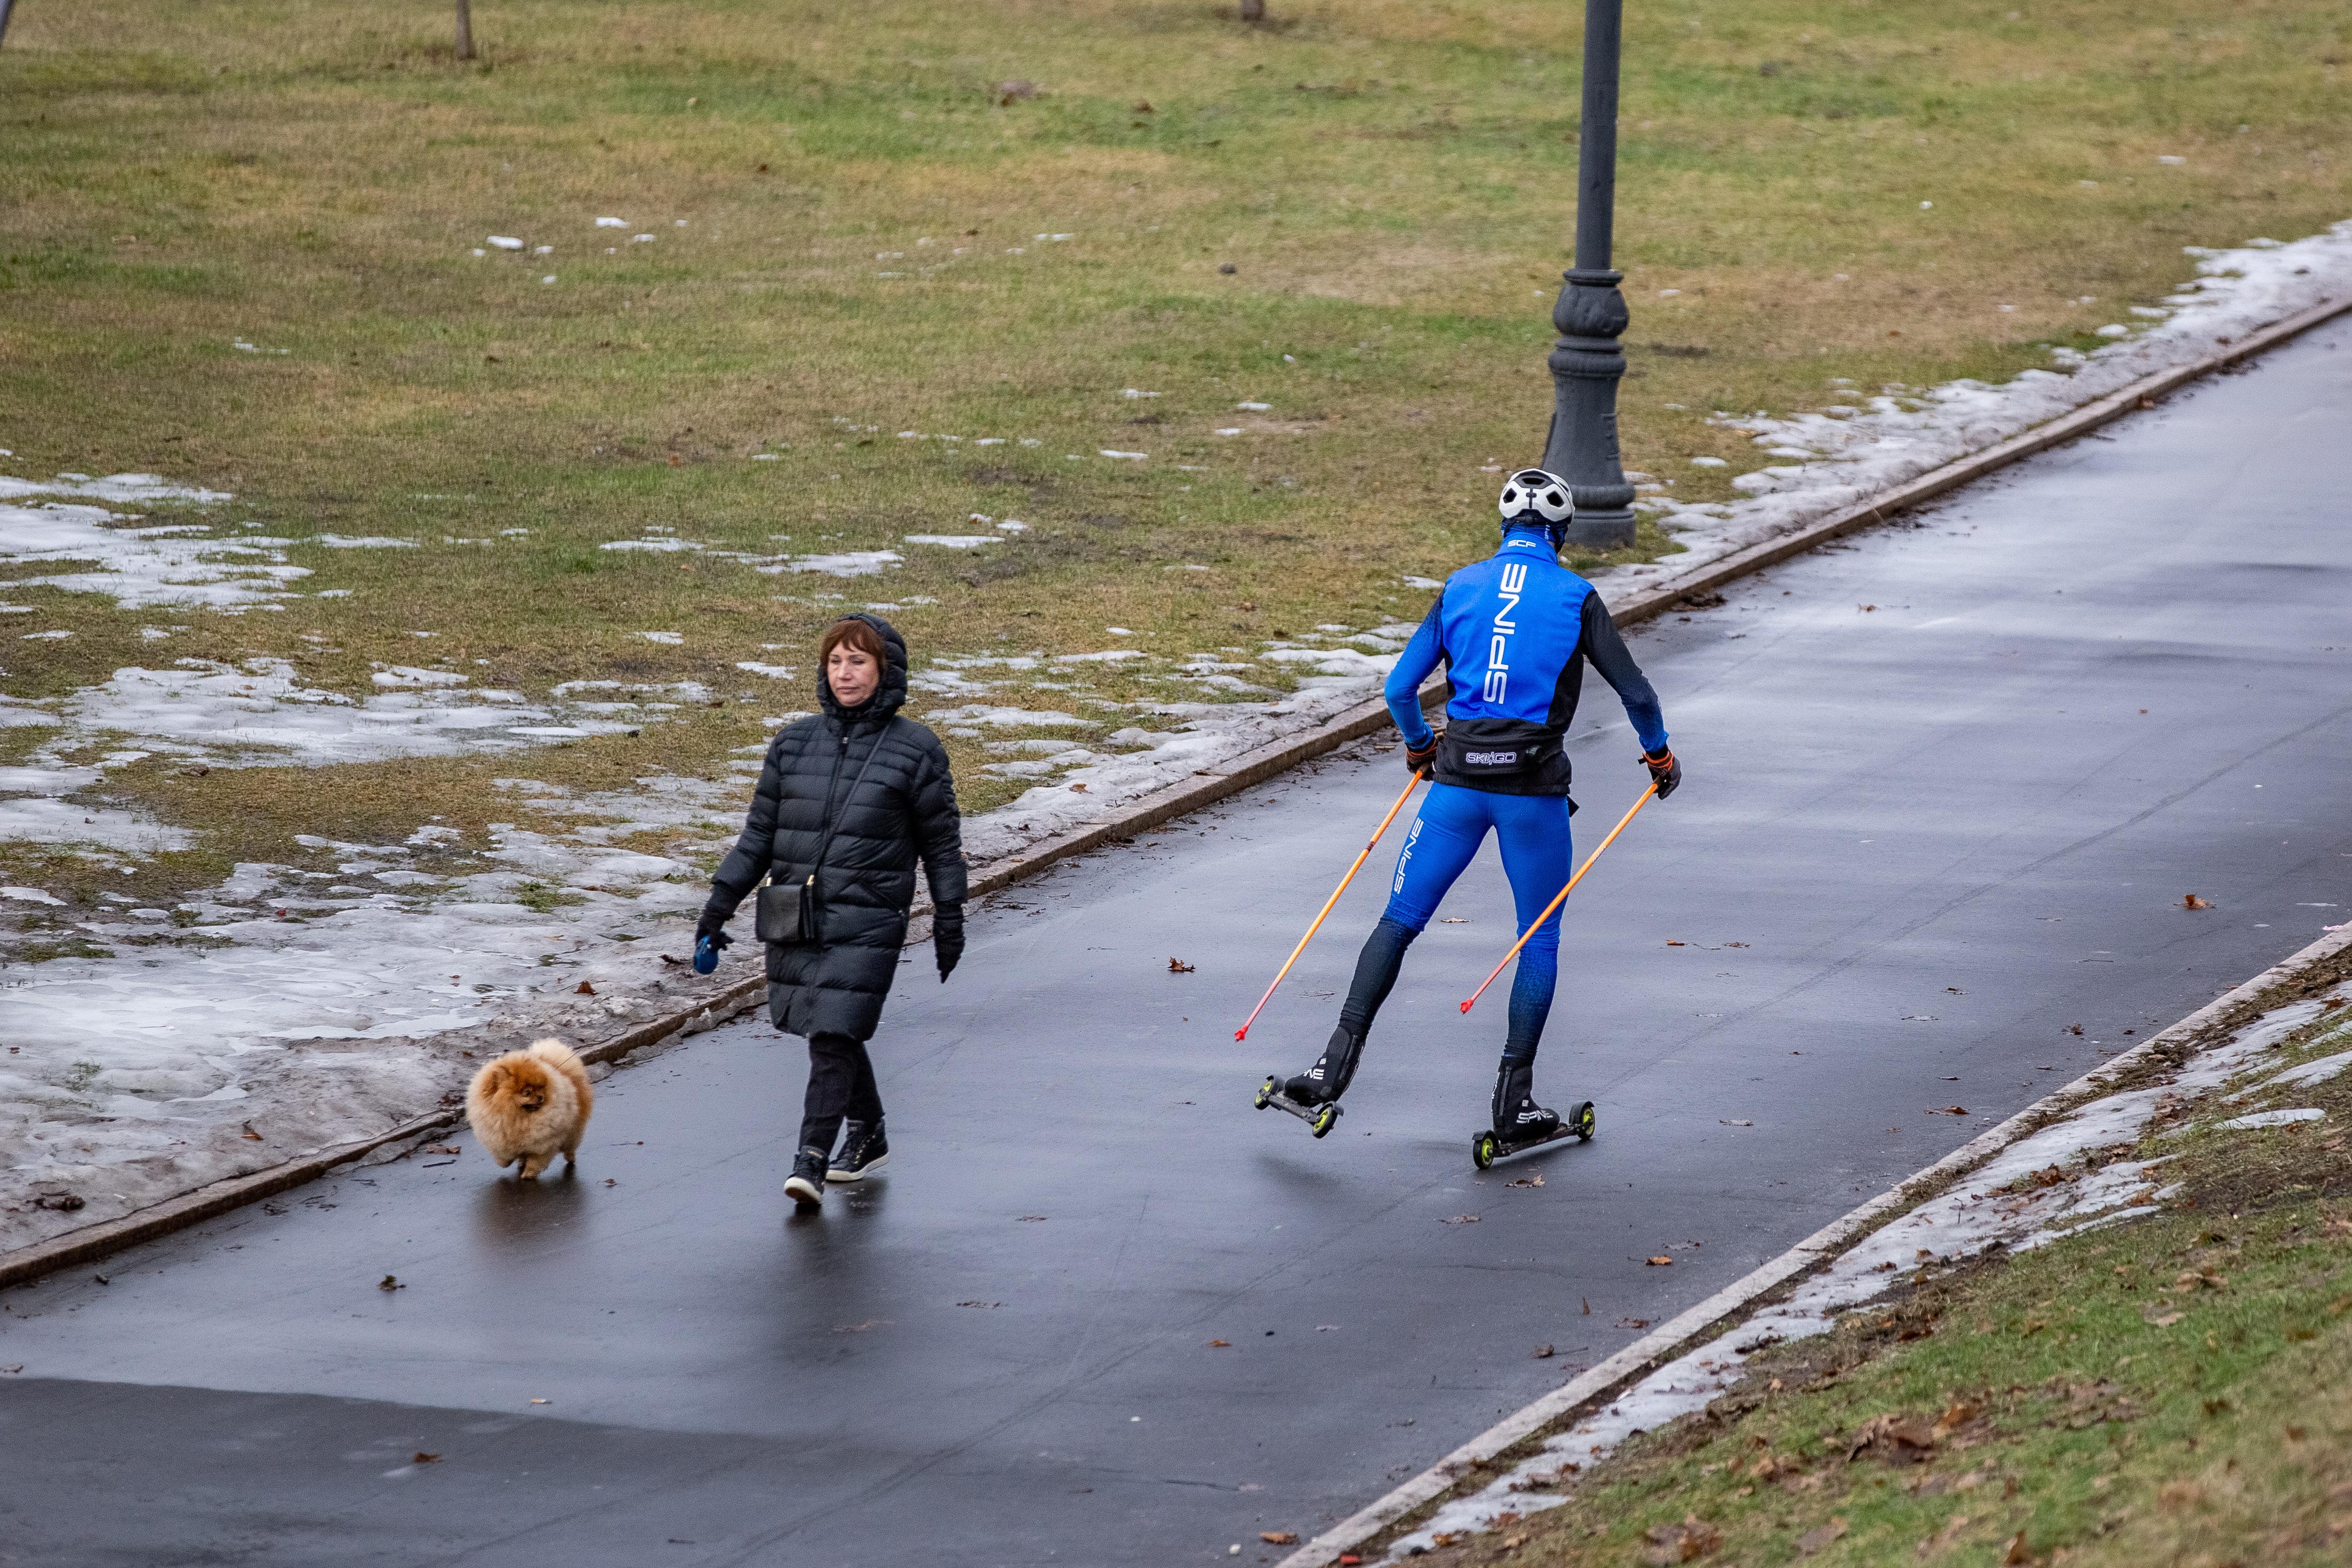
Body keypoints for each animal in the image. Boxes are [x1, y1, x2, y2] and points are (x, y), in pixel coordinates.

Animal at [459, 1043, 588, 1175]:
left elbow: (536, 1161)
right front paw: (505, 1162)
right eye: (527, 1093)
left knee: (570, 1147)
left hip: (573, 1132)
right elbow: (503, 1158)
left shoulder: (543, 1145)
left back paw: (570, 1158)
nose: (541, 1097)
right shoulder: (499, 1137)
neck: (517, 1119)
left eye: (540, 1088)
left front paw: (529, 1173)